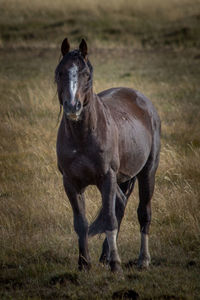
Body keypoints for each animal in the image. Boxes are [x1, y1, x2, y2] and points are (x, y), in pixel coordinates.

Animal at [54, 38, 161, 274]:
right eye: (60, 72)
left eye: (86, 74)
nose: (72, 106)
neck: (83, 136)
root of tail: (142, 100)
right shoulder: (70, 183)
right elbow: (81, 223)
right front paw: (84, 264)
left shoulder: (107, 177)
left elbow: (110, 219)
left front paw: (116, 266)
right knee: (120, 204)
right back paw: (105, 255)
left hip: (147, 172)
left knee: (143, 213)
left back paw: (143, 260)